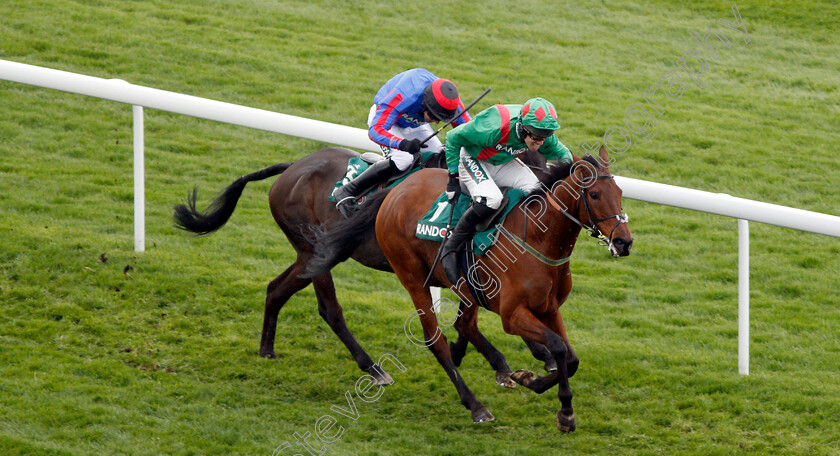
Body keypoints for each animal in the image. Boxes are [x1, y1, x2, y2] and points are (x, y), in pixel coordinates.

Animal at [171, 148, 556, 386]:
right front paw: (523, 357)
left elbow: (476, 316)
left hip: (311, 254)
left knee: (276, 289)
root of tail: (292, 167)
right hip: (316, 251)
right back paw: (372, 367)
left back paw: (267, 348)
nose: (543, 187)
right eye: (529, 155)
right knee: (329, 309)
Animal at [306, 145, 632, 432]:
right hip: (412, 276)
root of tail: (396, 189)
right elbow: (557, 347)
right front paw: (548, 396)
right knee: (435, 340)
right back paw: (475, 405)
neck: (539, 239)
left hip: (465, 285)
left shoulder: (549, 308)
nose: (623, 242)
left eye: (619, 193)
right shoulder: (512, 315)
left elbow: (570, 357)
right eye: (594, 194)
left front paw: (548, 396)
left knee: (464, 324)